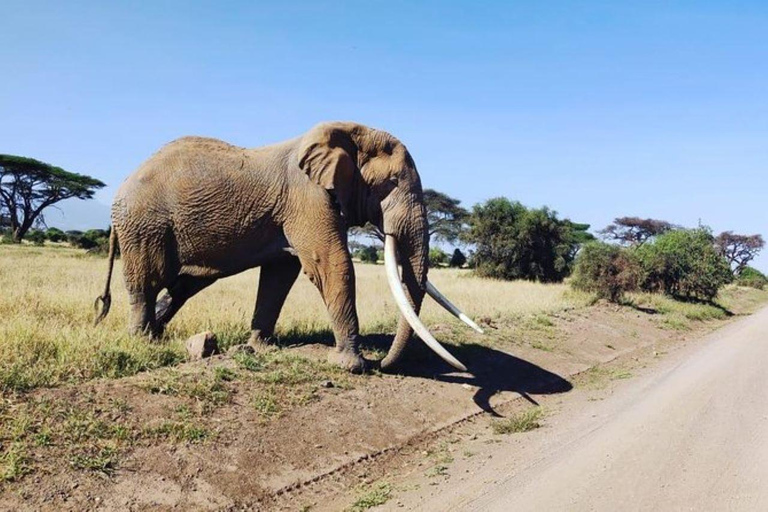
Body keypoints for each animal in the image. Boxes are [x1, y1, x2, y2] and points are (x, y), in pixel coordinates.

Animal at [94, 123, 480, 372]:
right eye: (392, 183)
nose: (382, 363)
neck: (349, 133)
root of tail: (122, 184)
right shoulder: (306, 195)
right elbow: (331, 263)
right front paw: (351, 365)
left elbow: (280, 275)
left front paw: (258, 347)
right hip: (145, 225)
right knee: (148, 281)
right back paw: (143, 340)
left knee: (182, 286)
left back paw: (158, 334)